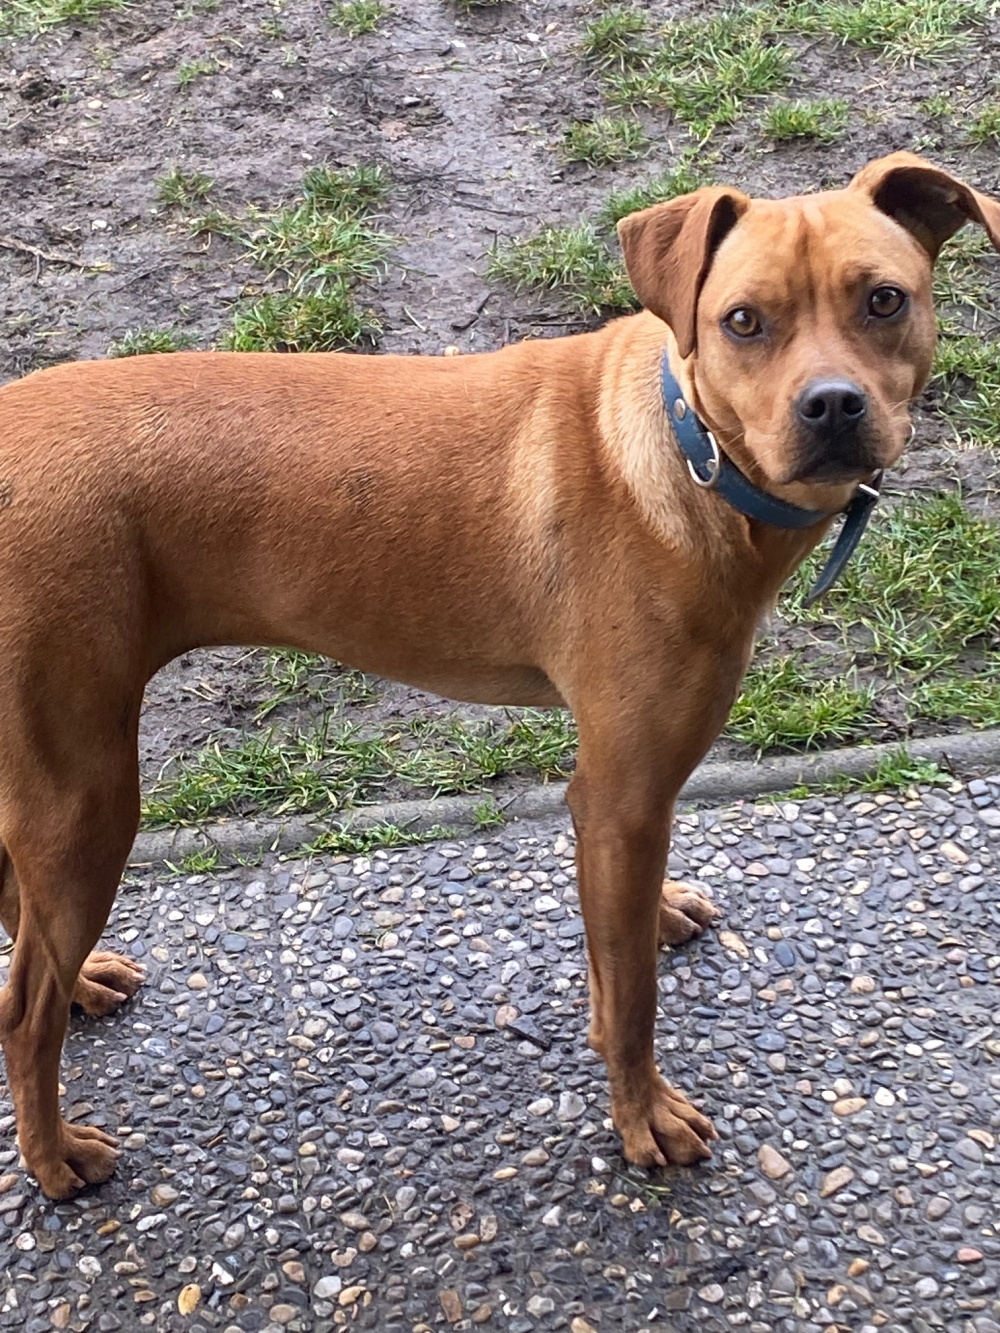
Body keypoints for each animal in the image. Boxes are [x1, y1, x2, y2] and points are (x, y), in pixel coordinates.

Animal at [1, 152, 998, 1199]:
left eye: (884, 299)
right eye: (742, 321)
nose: (834, 405)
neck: (689, 452)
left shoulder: (626, 801)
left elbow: (621, 940)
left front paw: (657, 920)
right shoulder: (622, 795)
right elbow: (629, 999)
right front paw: (641, 1115)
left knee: (25, 932)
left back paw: (84, 987)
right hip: (87, 790)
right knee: (21, 1011)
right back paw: (52, 1153)